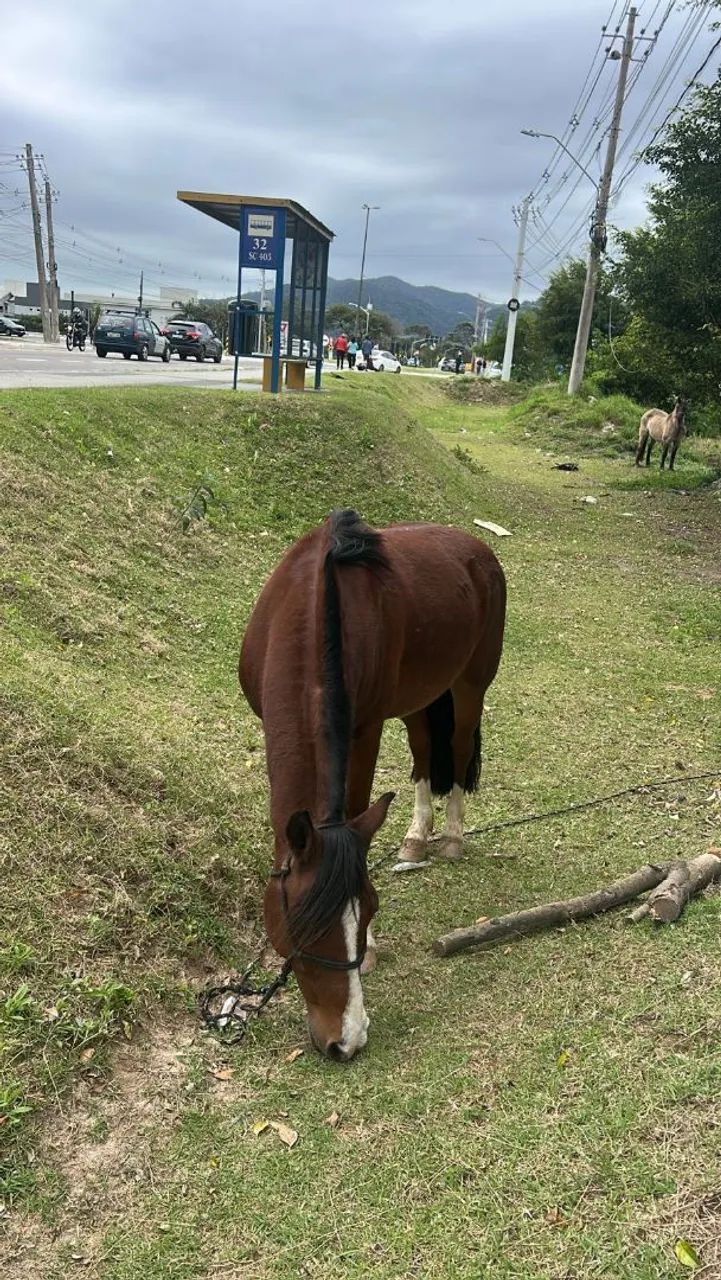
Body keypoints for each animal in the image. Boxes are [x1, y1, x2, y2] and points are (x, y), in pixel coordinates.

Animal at [239, 509, 506, 1060]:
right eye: (302, 929)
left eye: (367, 912)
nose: (349, 1038)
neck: (310, 608)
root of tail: (477, 549)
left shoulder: (364, 731)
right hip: (418, 698)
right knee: (425, 750)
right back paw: (416, 837)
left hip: (469, 686)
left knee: (458, 745)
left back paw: (449, 837)